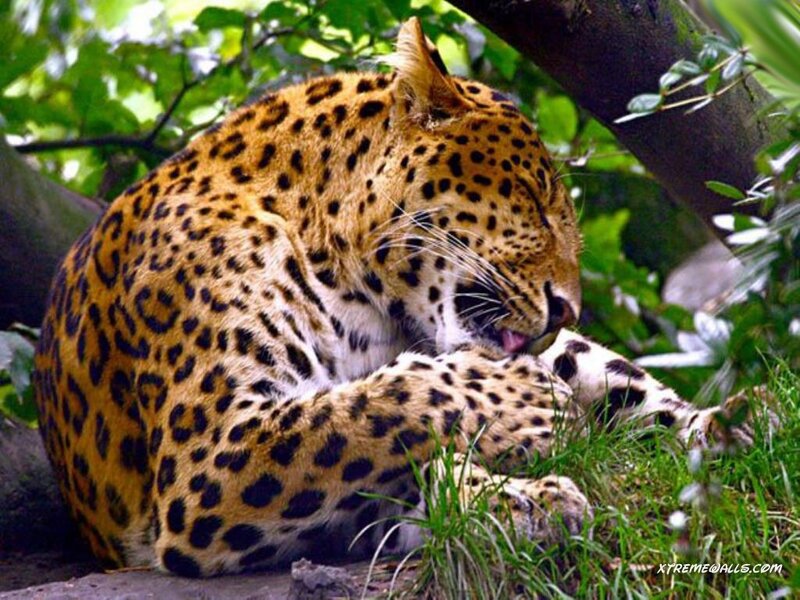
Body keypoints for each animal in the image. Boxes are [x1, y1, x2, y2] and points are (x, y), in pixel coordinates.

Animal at [32, 18, 764, 577]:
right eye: (533, 200)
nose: (568, 309)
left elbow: (380, 418)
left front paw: (517, 487)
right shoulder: (212, 453)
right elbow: (373, 410)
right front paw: (522, 439)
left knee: (640, 397)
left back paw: (732, 424)